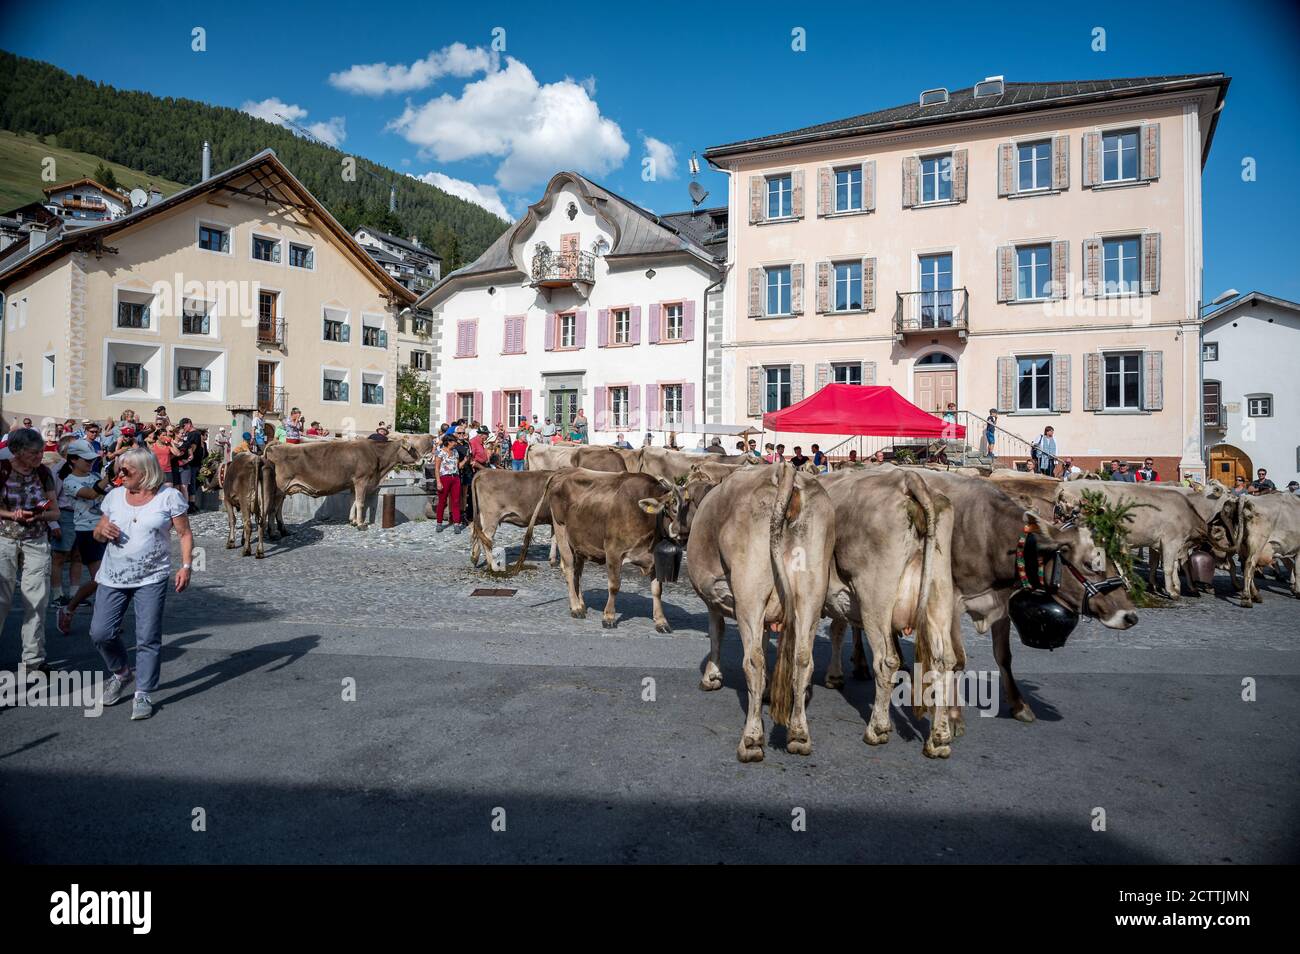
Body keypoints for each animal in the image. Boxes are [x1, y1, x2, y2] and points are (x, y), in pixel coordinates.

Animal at [686, 462, 837, 764]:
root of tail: (786, 473)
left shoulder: (712, 598)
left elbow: (716, 632)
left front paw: (712, 677)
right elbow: (768, 640)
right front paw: (768, 691)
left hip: (749, 592)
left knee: (753, 661)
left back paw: (752, 740)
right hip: (811, 594)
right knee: (803, 659)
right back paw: (799, 735)